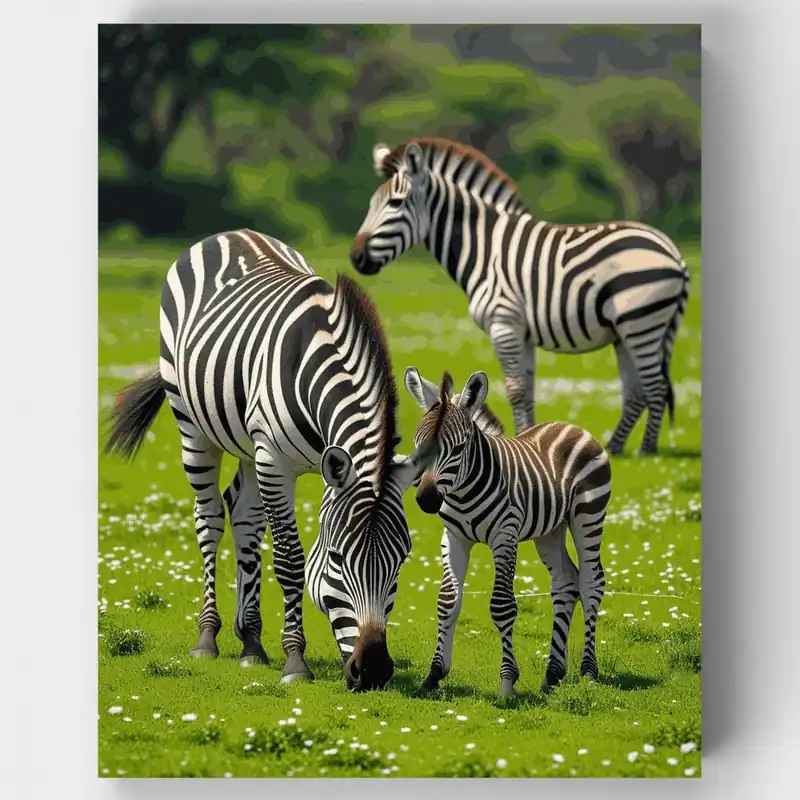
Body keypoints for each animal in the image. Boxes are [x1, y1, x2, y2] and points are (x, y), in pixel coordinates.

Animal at [104, 229, 431, 691]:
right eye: (337, 559)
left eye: (401, 560)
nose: (372, 671)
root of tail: (231, 233)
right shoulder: (274, 461)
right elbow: (291, 560)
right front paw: (295, 662)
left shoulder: (281, 460)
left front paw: (266, 646)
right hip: (193, 426)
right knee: (210, 520)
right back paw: (208, 637)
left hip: (247, 443)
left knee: (243, 516)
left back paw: (251, 642)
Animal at [352, 137, 690, 455]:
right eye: (371, 203)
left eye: (396, 203)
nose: (356, 257)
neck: (484, 247)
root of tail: (673, 251)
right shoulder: (522, 332)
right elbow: (527, 390)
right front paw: (528, 438)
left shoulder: (504, 323)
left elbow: (514, 389)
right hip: (627, 332)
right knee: (636, 390)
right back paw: (616, 447)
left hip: (640, 323)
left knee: (655, 387)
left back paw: (647, 450)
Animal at [404, 366, 611, 697]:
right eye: (417, 444)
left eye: (459, 448)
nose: (427, 499)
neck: (463, 492)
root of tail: (569, 425)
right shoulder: (454, 538)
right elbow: (447, 601)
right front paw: (434, 675)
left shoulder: (505, 535)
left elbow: (502, 605)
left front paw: (507, 682)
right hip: (550, 530)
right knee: (566, 583)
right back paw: (553, 674)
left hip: (588, 515)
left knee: (592, 583)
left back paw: (589, 672)